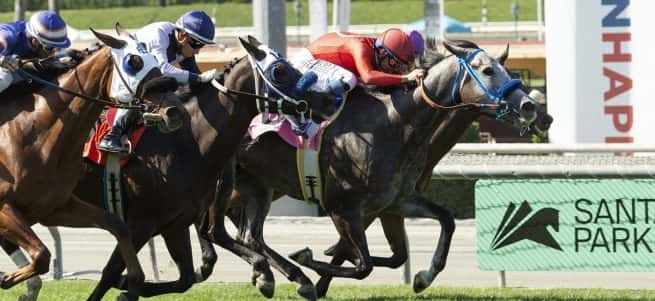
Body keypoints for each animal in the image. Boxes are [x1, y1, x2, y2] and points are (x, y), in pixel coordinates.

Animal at [0, 26, 183, 300]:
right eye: (134, 62)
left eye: (154, 59)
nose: (175, 111)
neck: (37, 133)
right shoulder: (5, 206)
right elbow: (42, 255)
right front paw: (8, 279)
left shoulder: (55, 208)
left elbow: (117, 225)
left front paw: (134, 280)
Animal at [195, 39, 552, 298]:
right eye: (487, 70)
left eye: (506, 68)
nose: (532, 108)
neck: (395, 125)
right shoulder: (343, 208)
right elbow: (362, 263)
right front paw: (312, 264)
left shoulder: (395, 202)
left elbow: (440, 226)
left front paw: (424, 276)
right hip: (226, 181)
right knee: (215, 228)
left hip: (258, 185)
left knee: (249, 235)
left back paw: (270, 275)